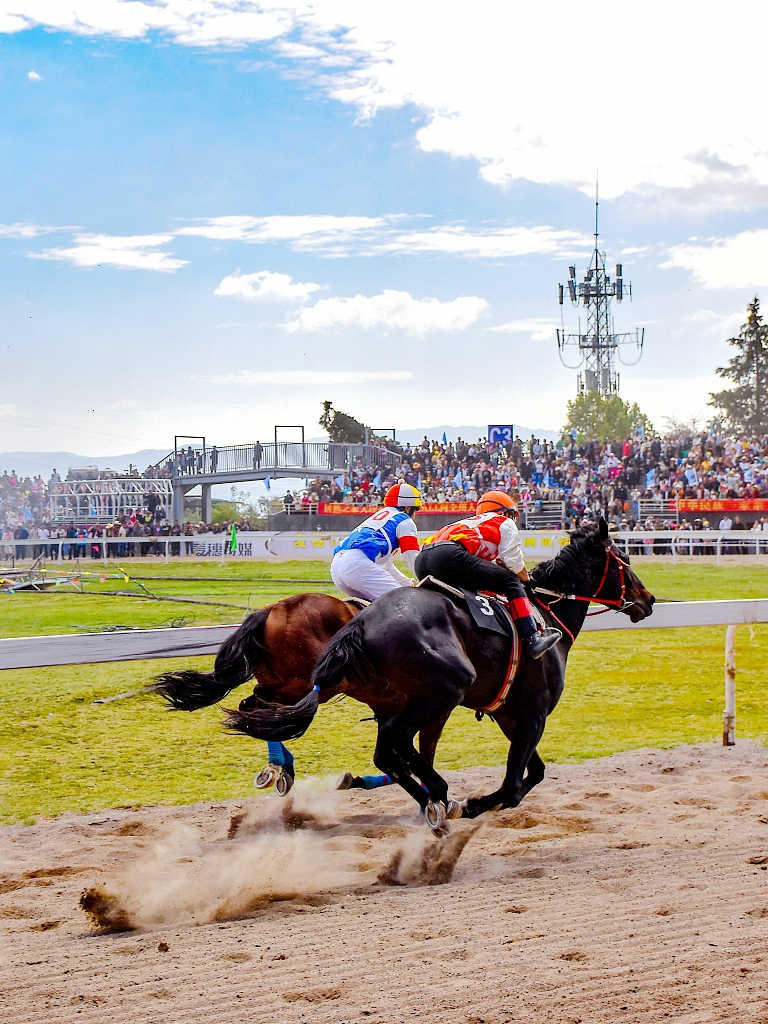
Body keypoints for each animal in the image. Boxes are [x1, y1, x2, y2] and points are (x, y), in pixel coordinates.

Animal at [222, 520, 655, 831]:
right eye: (625, 561)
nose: (649, 601)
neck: (545, 613)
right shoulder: (532, 715)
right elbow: (514, 786)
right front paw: (470, 804)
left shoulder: (510, 716)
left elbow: (533, 773)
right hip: (444, 688)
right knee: (391, 742)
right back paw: (438, 794)